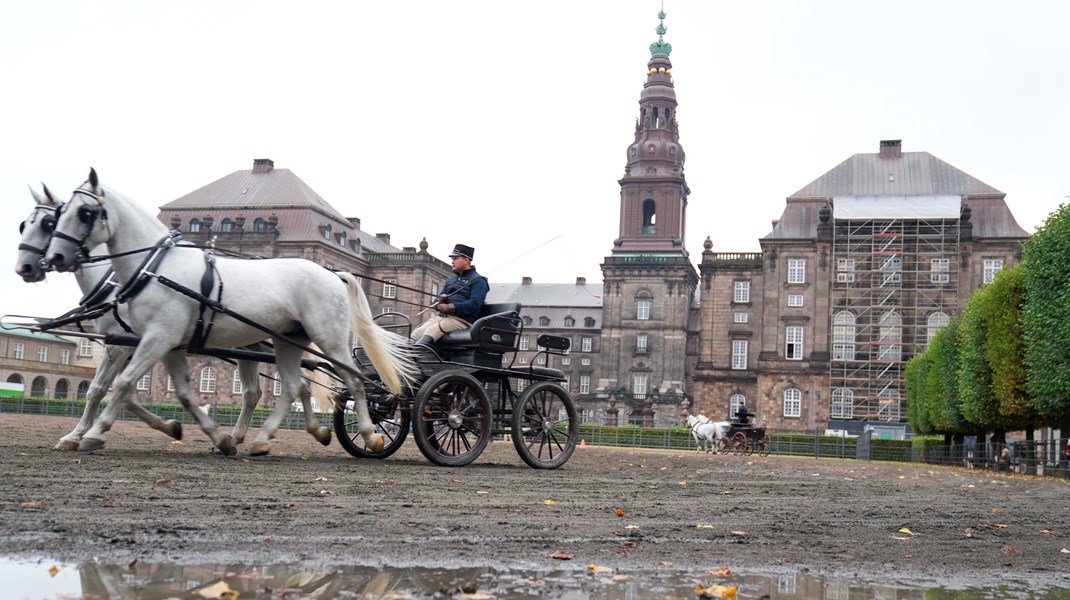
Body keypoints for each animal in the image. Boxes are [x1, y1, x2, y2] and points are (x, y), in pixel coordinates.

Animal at [49, 168, 417, 453]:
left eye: (83, 212)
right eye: (56, 215)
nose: (52, 257)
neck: (154, 268)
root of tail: (333, 273)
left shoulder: (151, 340)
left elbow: (121, 385)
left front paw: (93, 434)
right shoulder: (162, 343)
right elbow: (159, 390)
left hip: (329, 338)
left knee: (352, 381)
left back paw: (370, 436)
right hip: (286, 342)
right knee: (293, 386)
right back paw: (266, 438)